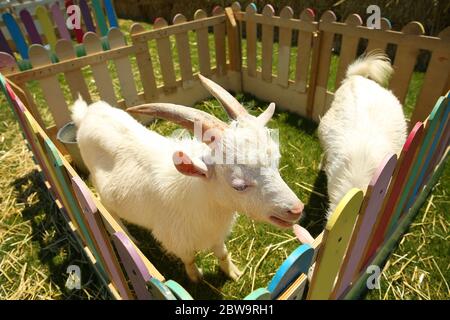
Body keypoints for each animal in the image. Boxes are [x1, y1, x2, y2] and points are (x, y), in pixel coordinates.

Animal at [72, 75, 302, 280]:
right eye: (238, 185)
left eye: (276, 163)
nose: (296, 209)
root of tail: (87, 114)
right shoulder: (176, 241)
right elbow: (189, 259)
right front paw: (195, 278)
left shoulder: (217, 234)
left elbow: (222, 253)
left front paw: (233, 272)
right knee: (109, 210)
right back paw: (130, 238)